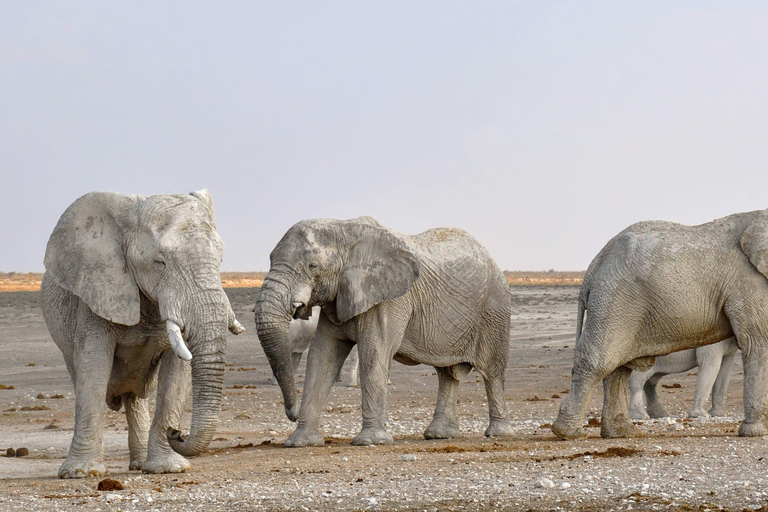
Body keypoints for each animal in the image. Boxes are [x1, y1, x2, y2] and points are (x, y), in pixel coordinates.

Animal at [40, 190, 243, 478]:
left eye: (221, 260)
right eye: (160, 262)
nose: (178, 432)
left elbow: (176, 375)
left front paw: (169, 468)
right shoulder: (96, 292)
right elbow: (93, 367)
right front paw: (81, 473)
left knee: (134, 397)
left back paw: (139, 464)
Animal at [255, 214, 512, 446]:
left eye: (313, 266)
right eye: (270, 259)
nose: (292, 414)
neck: (344, 229)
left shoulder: (390, 299)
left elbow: (374, 352)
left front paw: (371, 441)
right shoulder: (338, 298)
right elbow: (322, 357)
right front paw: (300, 442)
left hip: (494, 309)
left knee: (492, 370)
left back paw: (497, 433)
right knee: (447, 374)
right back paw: (439, 435)